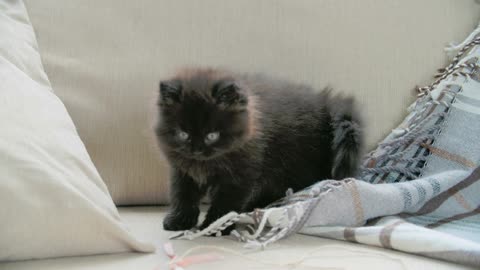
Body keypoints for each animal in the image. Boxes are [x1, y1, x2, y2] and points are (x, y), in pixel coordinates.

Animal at [156, 68, 362, 234]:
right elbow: (182, 195)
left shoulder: (240, 175)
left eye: (212, 135)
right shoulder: (183, 172)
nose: (196, 150)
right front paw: (178, 221)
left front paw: (214, 226)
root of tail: (326, 104)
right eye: (183, 134)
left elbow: (226, 202)